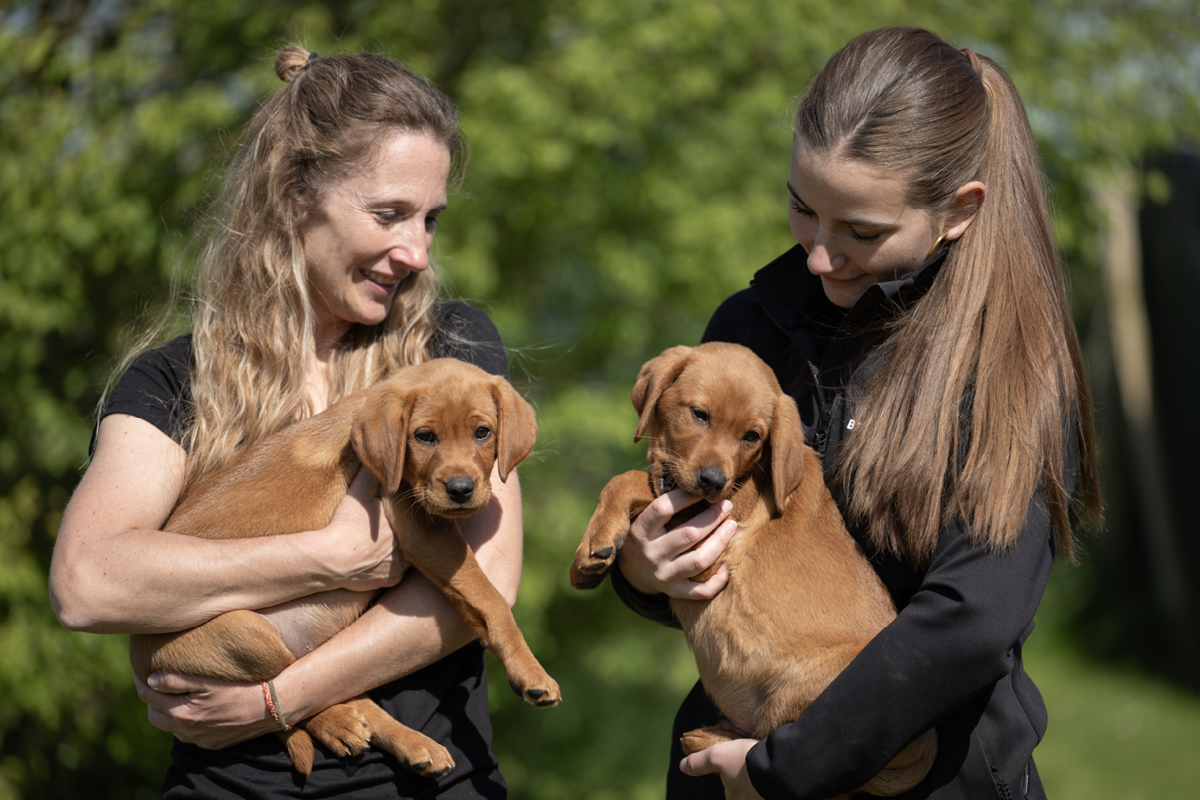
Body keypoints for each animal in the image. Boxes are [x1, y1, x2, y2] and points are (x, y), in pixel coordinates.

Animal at [129, 359, 559, 777]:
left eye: (483, 432)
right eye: (424, 437)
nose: (460, 490)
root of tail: (136, 657)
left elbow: (474, 600)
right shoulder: (420, 525)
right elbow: (490, 597)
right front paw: (531, 672)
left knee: (337, 688)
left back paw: (413, 746)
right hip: (244, 633)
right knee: (289, 692)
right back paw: (339, 725)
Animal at [568, 343, 936, 796]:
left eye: (752, 436)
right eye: (699, 414)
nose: (712, 480)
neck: (749, 476)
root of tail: (925, 747)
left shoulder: (706, 522)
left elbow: (630, 479)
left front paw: (595, 541)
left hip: (810, 692)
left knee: (771, 739)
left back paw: (706, 739)